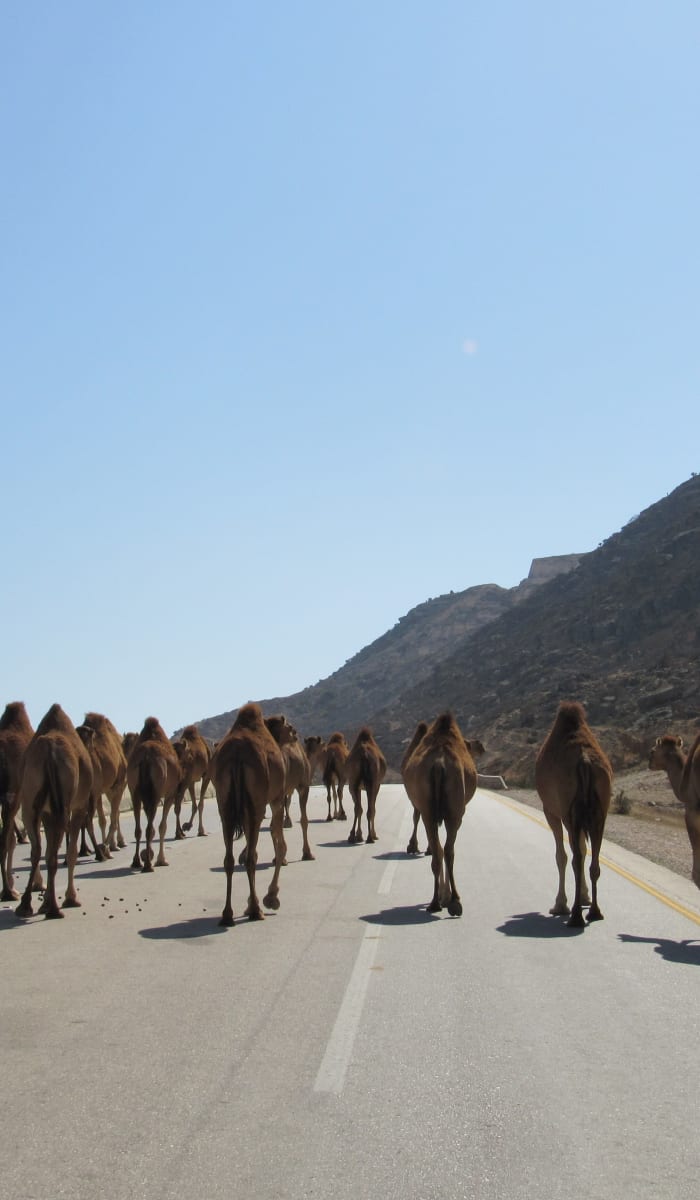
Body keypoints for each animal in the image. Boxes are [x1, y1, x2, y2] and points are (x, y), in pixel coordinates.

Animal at [16, 704, 94, 919]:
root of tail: (49, 751)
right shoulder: (78, 807)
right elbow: (72, 852)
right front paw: (70, 898)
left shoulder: (46, 812)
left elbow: (48, 848)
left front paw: (43, 903)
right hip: (63, 802)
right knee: (52, 855)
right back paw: (54, 908)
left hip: (29, 799)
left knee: (37, 850)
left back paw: (25, 906)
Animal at [126, 717, 182, 872]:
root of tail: (145, 758)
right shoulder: (170, 794)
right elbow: (162, 826)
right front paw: (161, 859)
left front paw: (148, 854)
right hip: (157, 791)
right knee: (151, 826)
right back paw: (148, 865)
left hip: (135, 792)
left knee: (140, 829)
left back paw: (137, 861)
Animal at [210, 702, 288, 926]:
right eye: (289, 730)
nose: (296, 735)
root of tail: (237, 755)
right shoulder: (276, 799)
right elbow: (280, 845)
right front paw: (271, 897)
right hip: (256, 804)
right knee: (252, 857)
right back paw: (256, 910)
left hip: (225, 806)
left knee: (229, 859)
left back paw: (227, 914)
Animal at [401, 712, 477, 916]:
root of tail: (438, 764)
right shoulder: (457, 813)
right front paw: (447, 895)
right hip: (455, 812)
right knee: (448, 850)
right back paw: (453, 900)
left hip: (429, 809)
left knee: (438, 850)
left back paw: (435, 902)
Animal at [535, 701, 613, 928]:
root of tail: (585, 762)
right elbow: (584, 849)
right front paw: (585, 897)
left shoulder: (551, 811)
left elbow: (561, 855)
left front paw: (560, 905)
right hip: (600, 813)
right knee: (593, 858)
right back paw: (594, 911)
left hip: (569, 813)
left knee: (576, 859)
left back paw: (576, 915)